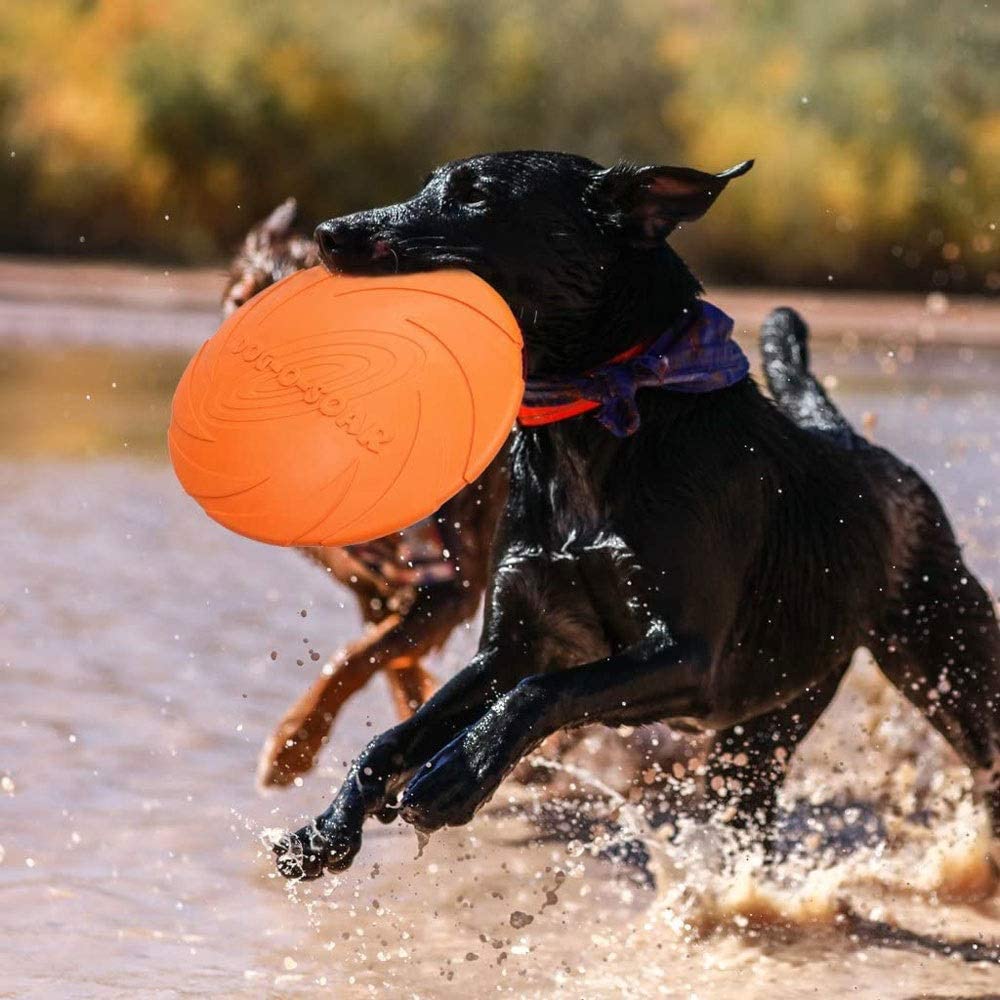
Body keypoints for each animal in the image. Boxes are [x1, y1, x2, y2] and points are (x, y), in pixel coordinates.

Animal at [274, 152, 1000, 880]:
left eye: (473, 196)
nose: (329, 233)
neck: (593, 420)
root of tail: (851, 440)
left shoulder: (685, 658)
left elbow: (541, 691)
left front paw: (459, 774)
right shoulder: (512, 642)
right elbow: (400, 733)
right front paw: (327, 827)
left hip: (950, 668)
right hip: (769, 723)